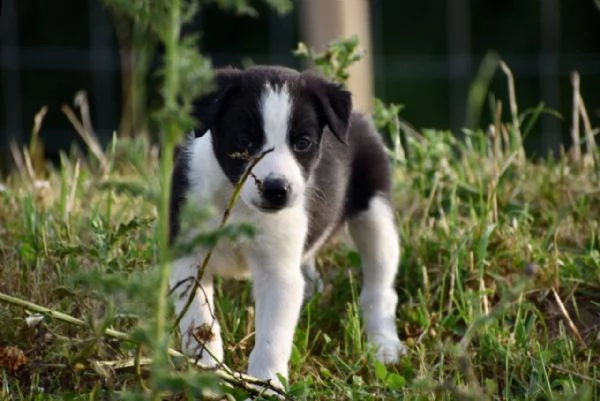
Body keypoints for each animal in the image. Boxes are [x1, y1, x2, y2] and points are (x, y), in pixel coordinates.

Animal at [166, 65, 406, 388]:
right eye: (243, 140)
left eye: (302, 143)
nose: (276, 189)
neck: (238, 204)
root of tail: (358, 117)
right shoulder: (188, 258)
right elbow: (199, 321)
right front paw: (205, 370)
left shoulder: (278, 273)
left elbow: (272, 338)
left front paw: (265, 383)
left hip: (375, 216)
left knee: (379, 288)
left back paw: (384, 345)